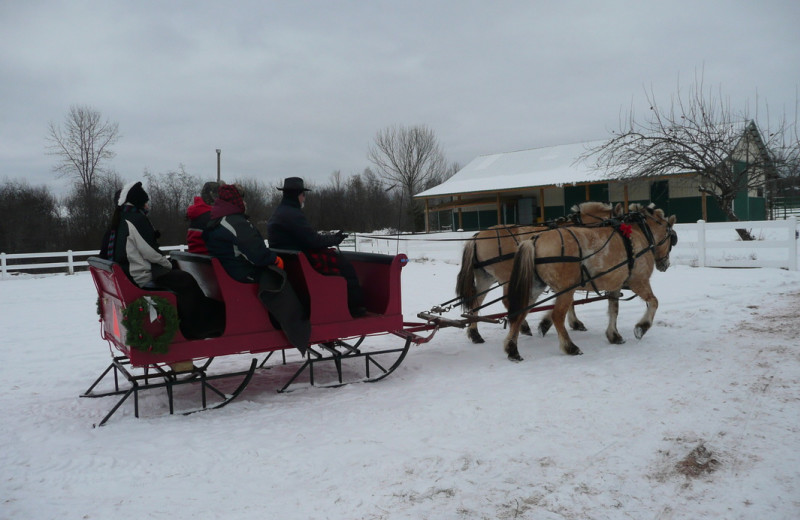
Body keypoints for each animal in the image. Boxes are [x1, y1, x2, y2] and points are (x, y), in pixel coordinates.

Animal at [454, 201, 620, 344]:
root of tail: (476, 237)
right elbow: (568, 301)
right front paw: (573, 323)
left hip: (485, 277)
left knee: (477, 301)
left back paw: (475, 333)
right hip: (506, 276)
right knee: (506, 302)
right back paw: (522, 326)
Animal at [504, 203, 680, 362]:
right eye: (672, 239)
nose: (665, 264)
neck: (638, 234)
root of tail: (535, 240)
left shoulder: (615, 285)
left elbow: (614, 309)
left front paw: (614, 335)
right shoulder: (639, 281)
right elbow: (654, 302)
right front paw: (641, 328)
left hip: (536, 287)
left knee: (520, 312)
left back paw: (512, 349)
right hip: (566, 289)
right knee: (557, 316)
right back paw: (570, 347)